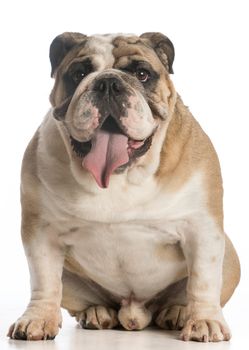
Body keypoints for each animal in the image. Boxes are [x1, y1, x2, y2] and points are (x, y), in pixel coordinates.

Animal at [8, 32, 240, 342]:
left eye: (142, 74)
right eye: (78, 74)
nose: (108, 83)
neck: (122, 177)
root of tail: (135, 312)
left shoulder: (201, 229)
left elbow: (203, 280)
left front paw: (204, 321)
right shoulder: (41, 232)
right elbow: (44, 281)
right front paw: (37, 319)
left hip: (230, 258)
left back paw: (178, 312)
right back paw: (97, 313)